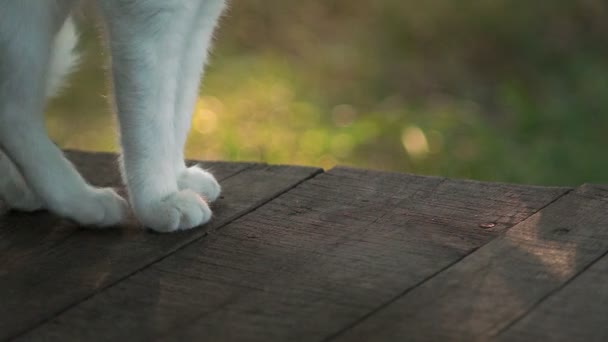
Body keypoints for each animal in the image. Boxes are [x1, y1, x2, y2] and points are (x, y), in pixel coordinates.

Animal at [0, 0, 227, 232]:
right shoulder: (149, 16)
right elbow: (152, 129)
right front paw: (159, 200)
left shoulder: (200, 17)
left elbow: (179, 111)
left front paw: (178, 177)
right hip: (26, 18)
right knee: (12, 115)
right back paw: (84, 202)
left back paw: (23, 190)